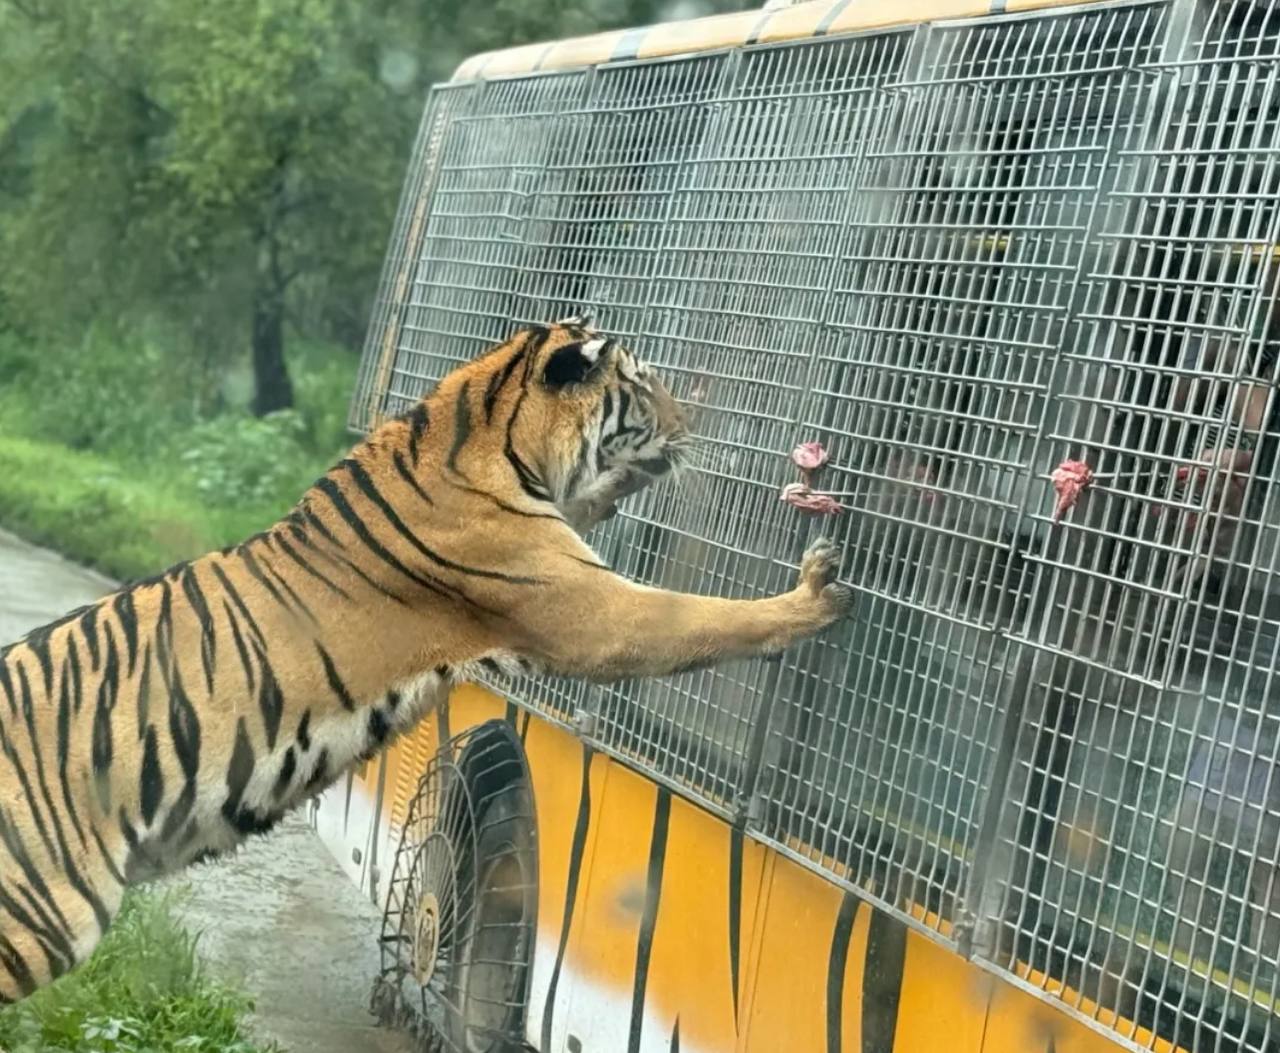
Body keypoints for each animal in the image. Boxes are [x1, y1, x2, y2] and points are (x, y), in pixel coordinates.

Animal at [0, 316, 852, 1000]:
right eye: (645, 385)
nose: (690, 420)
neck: (490, 423)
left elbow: (597, 502)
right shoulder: (587, 610)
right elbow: (697, 620)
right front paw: (813, 597)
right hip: (40, 918)